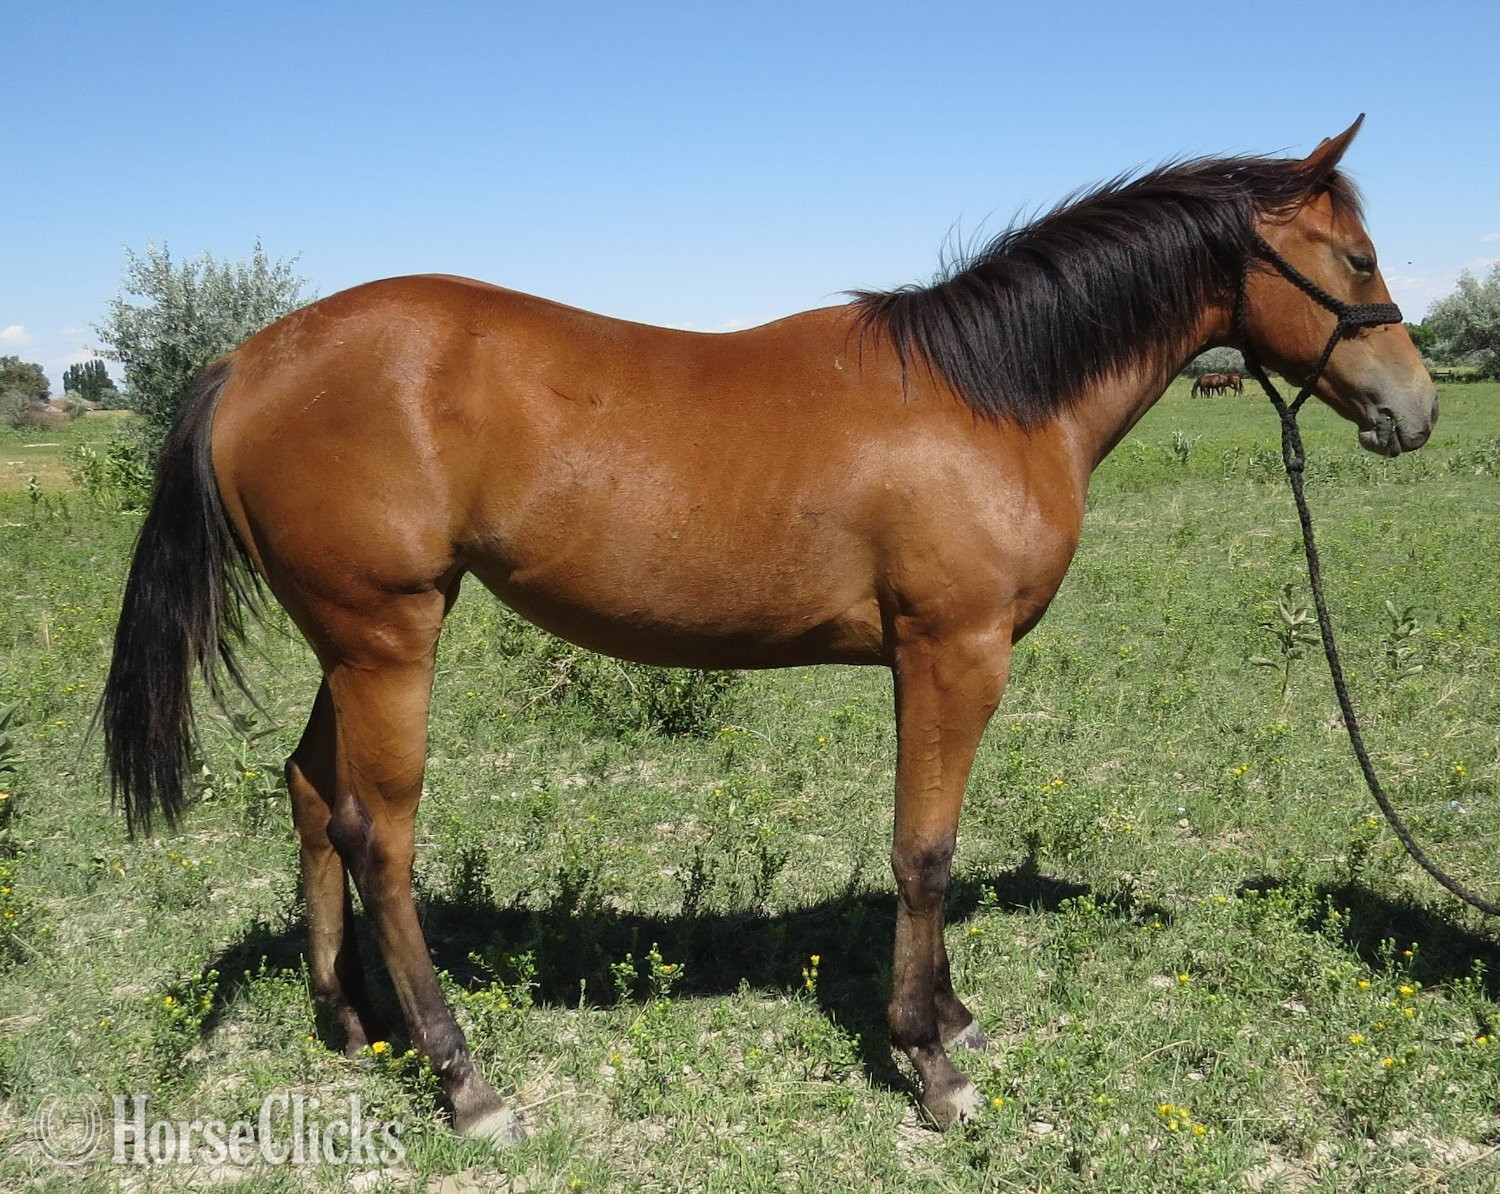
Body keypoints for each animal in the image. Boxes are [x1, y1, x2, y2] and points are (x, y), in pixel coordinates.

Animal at [102, 117, 1435, 1141]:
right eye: (1359, 257)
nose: (1415, 409)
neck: (992, 395)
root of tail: (249, 358)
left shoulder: (928, 662)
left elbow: (930, 846)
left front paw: (952, 1017)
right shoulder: (952, 652)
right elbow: (925, 851)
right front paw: (932, 1063)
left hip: (352, 644)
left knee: (307, 792)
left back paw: (349, 1023)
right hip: (388, 640)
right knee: (379, 838)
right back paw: (465, 1082)